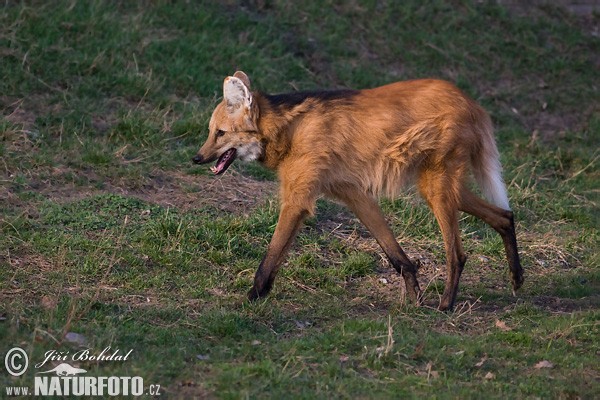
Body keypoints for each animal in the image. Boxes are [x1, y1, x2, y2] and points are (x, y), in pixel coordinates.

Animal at [195, 70, 524, 310]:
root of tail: (471, 101)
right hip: (438, 186)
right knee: (504, 215)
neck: (287, 131)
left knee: (457, 252)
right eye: (210, 132)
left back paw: (446, 305)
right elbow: (396, 255)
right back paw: (517, 279)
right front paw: (415, 297)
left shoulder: (298, 200)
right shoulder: (354, 194)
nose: (196, 158)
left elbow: (270, 257)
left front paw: (251, 297)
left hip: (436, 187)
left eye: (220, 133)